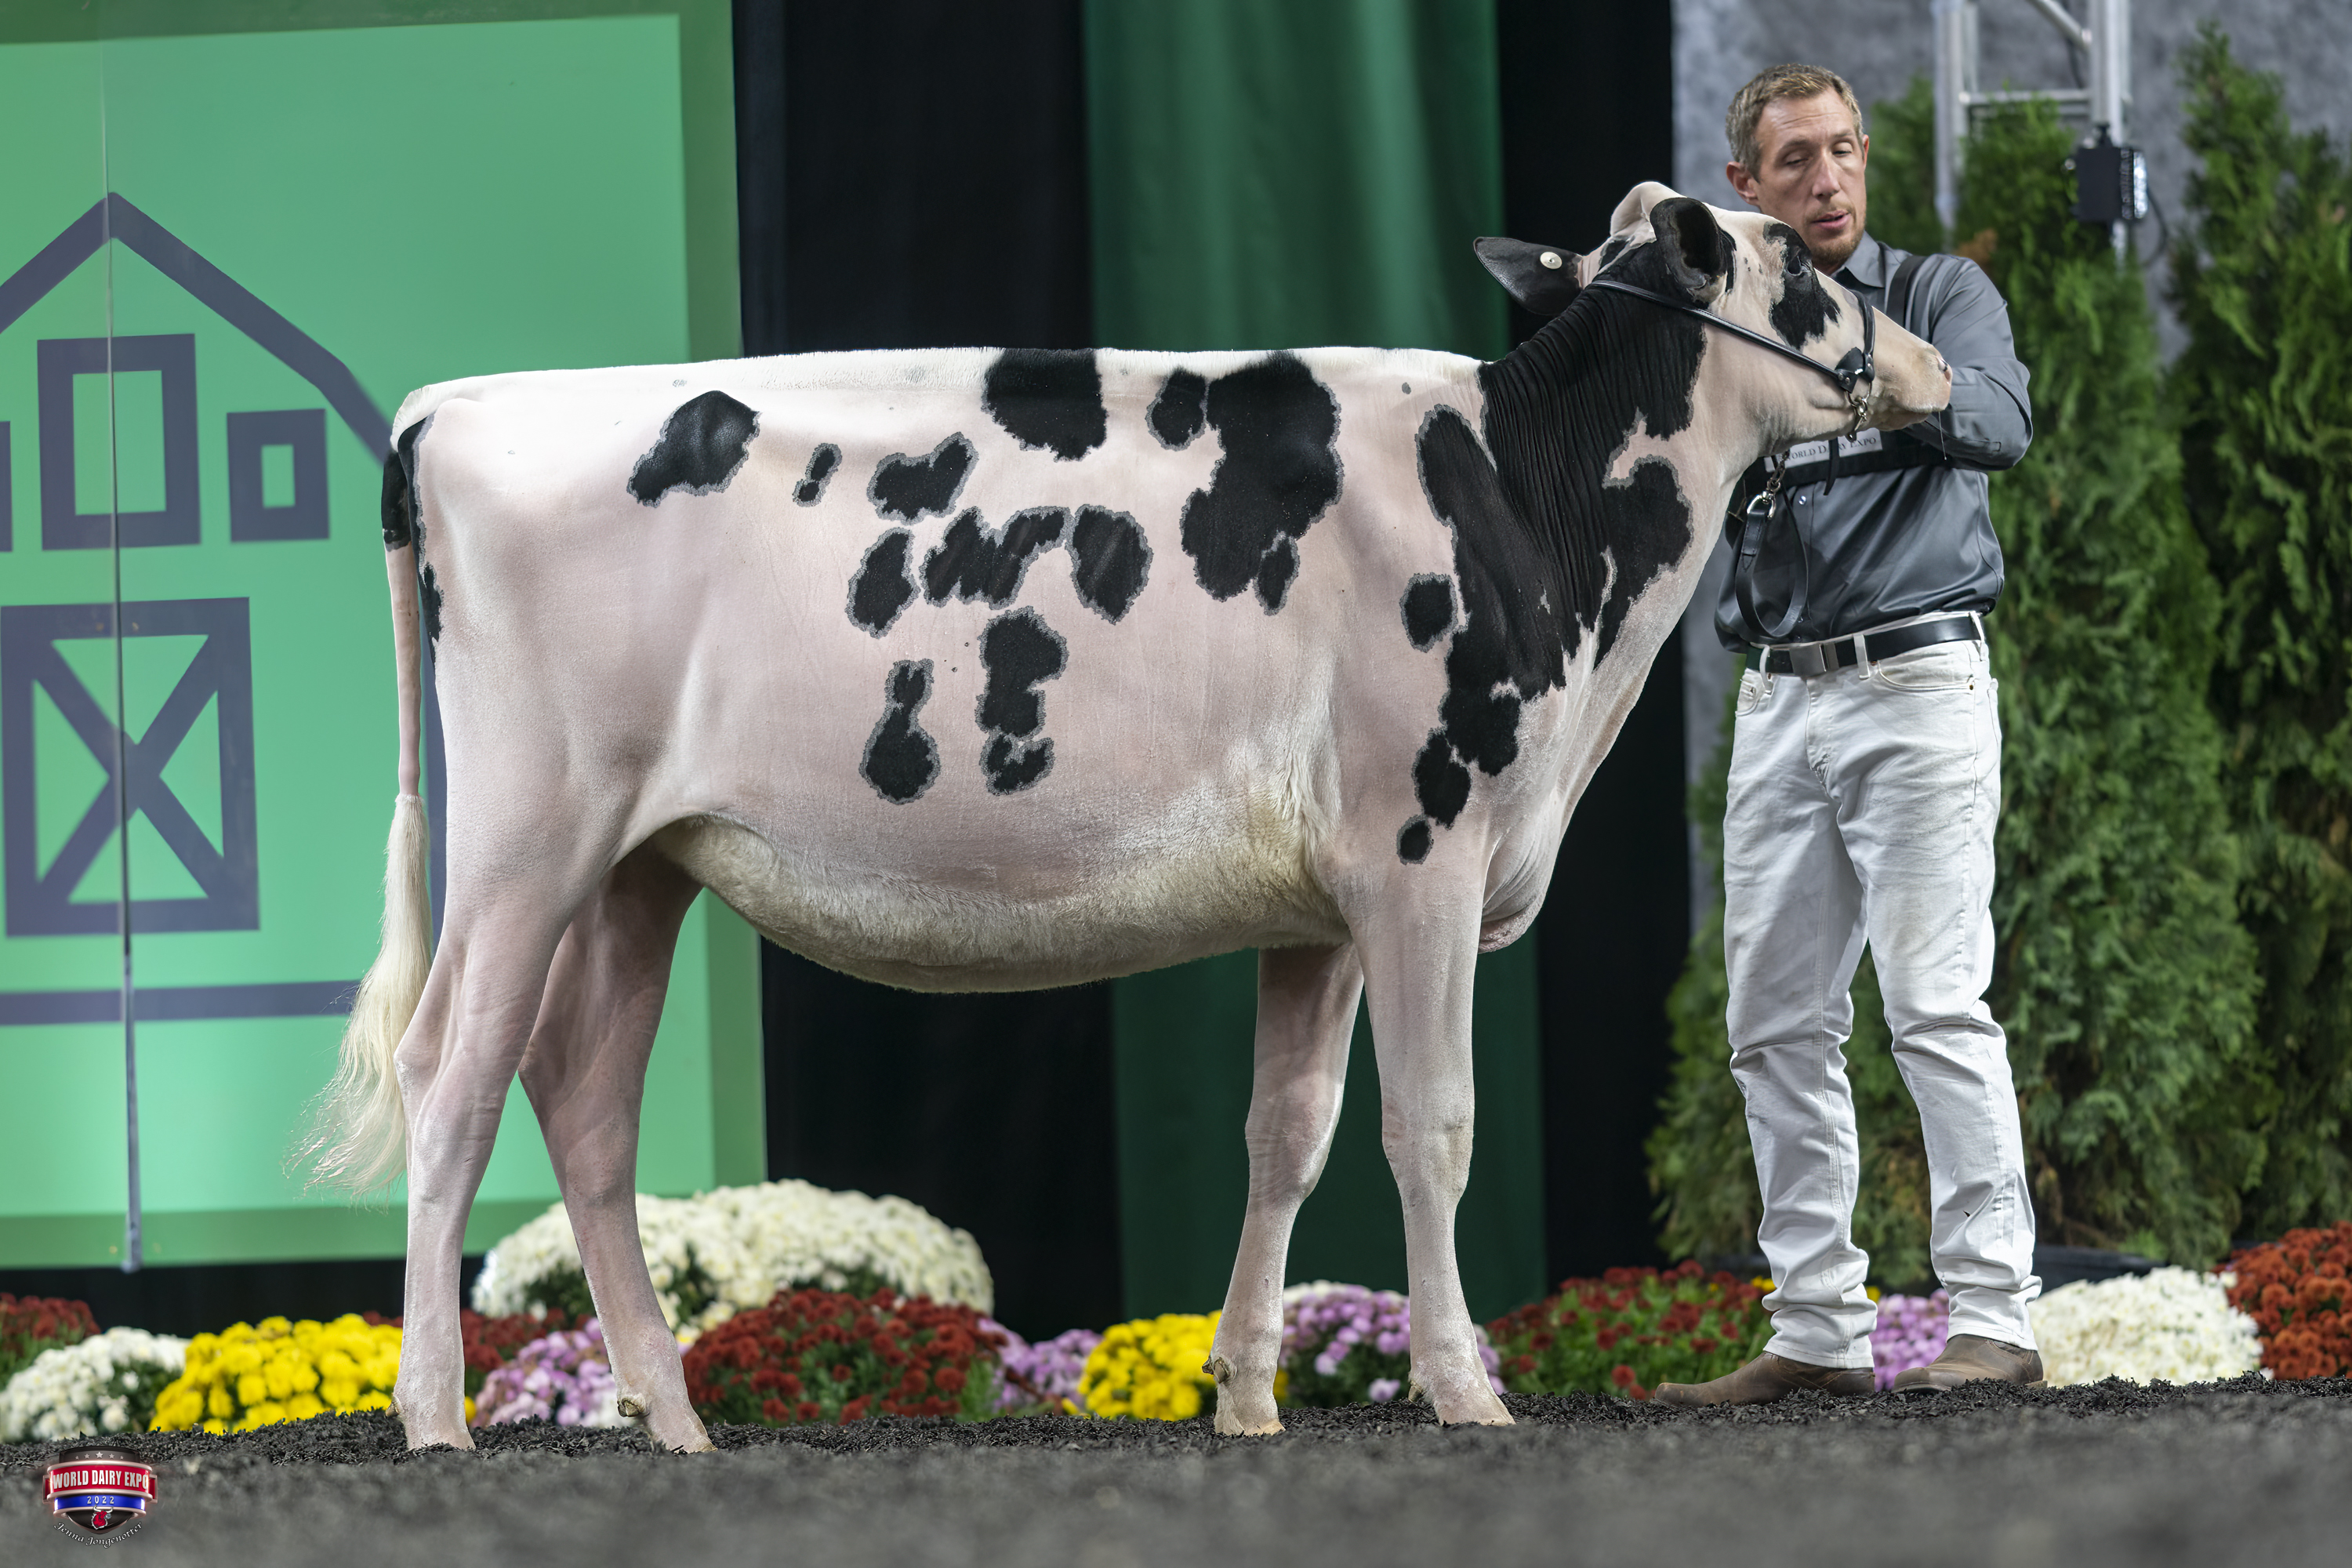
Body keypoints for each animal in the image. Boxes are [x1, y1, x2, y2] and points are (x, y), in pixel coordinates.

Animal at [310, 183, 1950, 1451]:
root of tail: (456, 407)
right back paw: (437, 1414)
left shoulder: (1323, 903)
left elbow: (1288, 1134)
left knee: (582, 1102)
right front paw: (1461, 1388)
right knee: (453, 1080)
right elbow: (1431, 1126)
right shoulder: (1420, 854)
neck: (1530, 512)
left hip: (638, 864)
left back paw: (672, 1415)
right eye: (1811, 267)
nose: (1936, 366)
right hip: (527, 842)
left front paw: (1247, 1397)